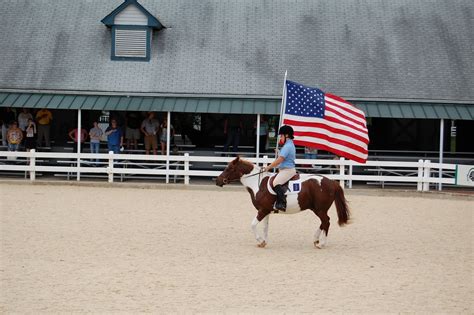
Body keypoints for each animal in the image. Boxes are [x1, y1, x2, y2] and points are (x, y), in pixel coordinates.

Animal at [217, 158, 350, 249]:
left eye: (229, 168)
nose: (218, 181)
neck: (258, 184)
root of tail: (332, 182)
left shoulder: (262, 210)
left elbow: (253, 225)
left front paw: (260, 240)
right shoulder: (266, 211)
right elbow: (265, 227)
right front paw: (264, 242)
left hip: (320, 210)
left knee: (326, 222)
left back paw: (321, 243)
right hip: (316, 209)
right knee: (324, 222)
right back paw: (316, 239)